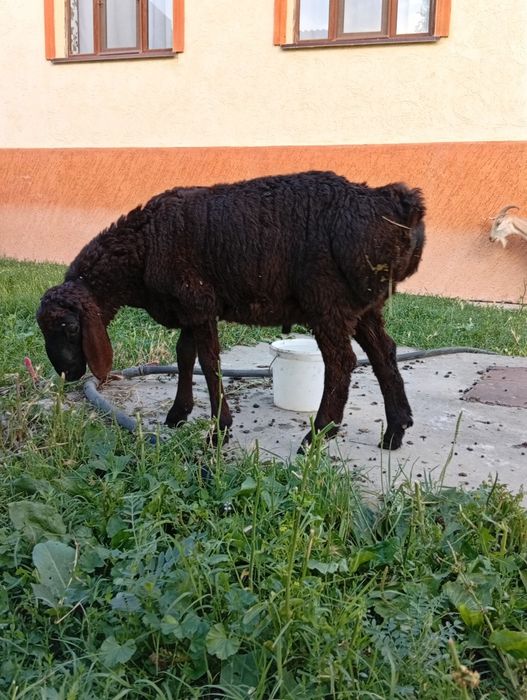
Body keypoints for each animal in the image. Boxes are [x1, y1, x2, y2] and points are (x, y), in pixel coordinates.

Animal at [37, 171, 426, 451]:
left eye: (70, 327)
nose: (68, 374)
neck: (143, 248)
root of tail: (396, 206)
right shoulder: (190, 309)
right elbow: (184, 356)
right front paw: (178, 414)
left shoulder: (198, 302)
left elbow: (209, 363)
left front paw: (218, 431)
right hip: (362, 304)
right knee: (384, 353)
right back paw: (395, 430)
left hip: (326, 299)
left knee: (342, 362)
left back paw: (316, 436)